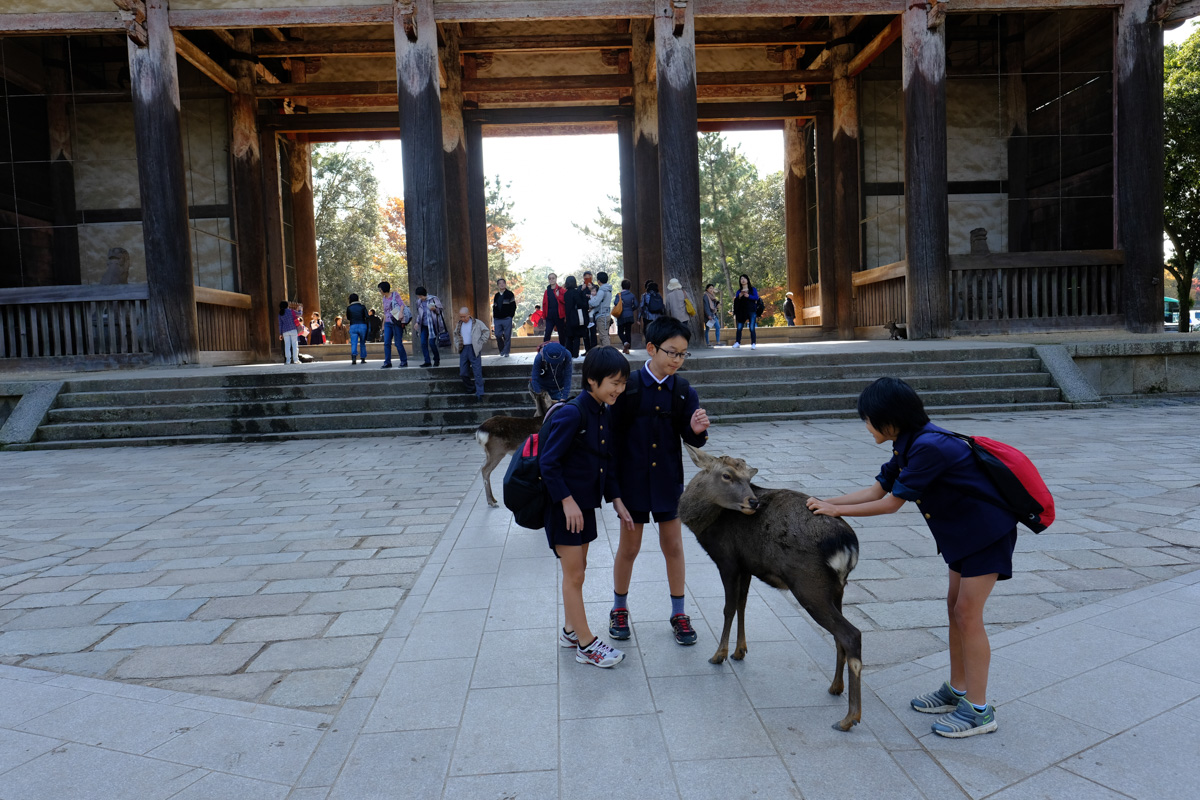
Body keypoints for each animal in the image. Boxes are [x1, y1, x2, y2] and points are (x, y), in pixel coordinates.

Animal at [686, 443, 864, 734]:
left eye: (748, 478)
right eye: (727, 475)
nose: (753, 502)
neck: (705, 526)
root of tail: (848, 546)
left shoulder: (727, 559)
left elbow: (728, 608)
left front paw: (719, 655)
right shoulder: (747, 564)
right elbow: (742, 605)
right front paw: (739, 651)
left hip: (809, 584)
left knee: (851, 634)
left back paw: (848, 719)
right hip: (838, 587)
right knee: (840, 635)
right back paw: (835, 687)